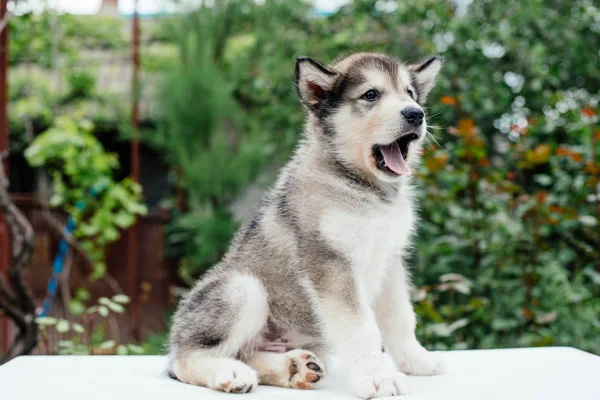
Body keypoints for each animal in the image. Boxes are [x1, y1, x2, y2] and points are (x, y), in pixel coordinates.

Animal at [168, 52, 446, 396]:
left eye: (409, 93)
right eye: (371, 94)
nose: (416, 114)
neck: (365, 189)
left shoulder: (391, 259)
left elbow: (400, 317)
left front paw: (416, 359)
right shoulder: (332, 263)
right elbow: (362, 327)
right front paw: (377, 377)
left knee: (246, 352)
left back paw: (292, 368)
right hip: (242, 289)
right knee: (185, 359)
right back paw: (229, 372)